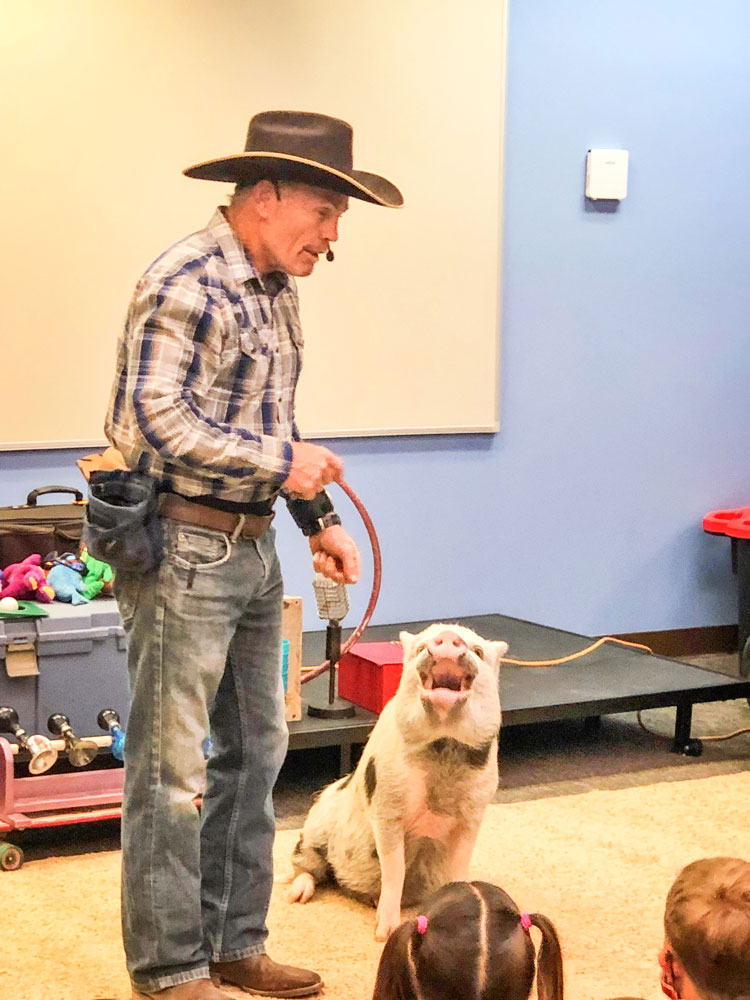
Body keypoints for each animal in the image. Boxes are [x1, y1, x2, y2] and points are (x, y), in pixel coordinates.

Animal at [290, 620, 508, 940]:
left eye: (478, 651)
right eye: (420, 648)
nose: (449, 636)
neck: (443, 744)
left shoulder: (473, 812)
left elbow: (459, 865)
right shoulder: (386, 806)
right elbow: (394, 868)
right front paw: (383, 934)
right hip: (314, 826)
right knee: (308, 865)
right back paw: (297, 897)